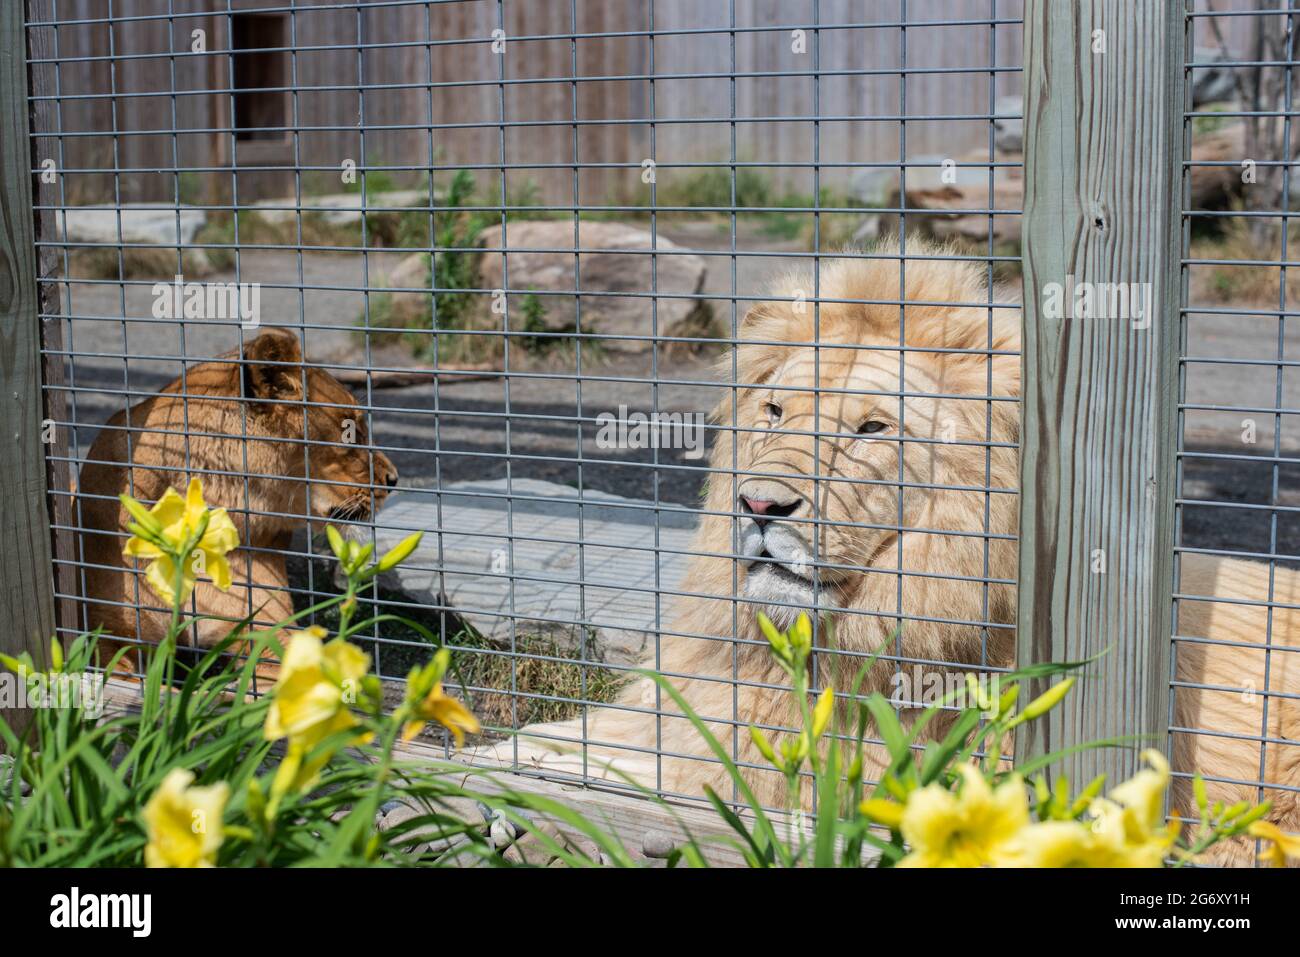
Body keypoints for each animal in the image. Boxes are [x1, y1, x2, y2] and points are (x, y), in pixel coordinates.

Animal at [470, 245, 1297, 867]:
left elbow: (657, 782)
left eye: (869, 428)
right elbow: (565, 742)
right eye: (775, 411)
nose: (759, 507)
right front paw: (488, 775)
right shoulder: (689, 708)